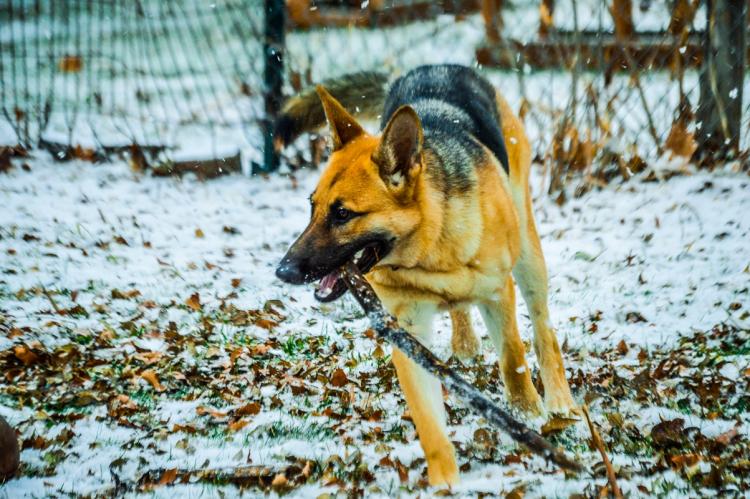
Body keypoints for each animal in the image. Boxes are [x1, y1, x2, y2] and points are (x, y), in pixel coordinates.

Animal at [276, 64, 576, 486]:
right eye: (312, 207)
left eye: (343, 214)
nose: (283, 271)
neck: (430, 247)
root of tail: (437, 66)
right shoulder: (408, 333)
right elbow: (429, 424)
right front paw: (445, 485)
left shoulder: (499, 294)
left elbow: (513, 360)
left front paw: (528, 415)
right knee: (463, 311)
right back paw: (465, 343)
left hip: (529, 256)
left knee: (543, 328)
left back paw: (560, 399)